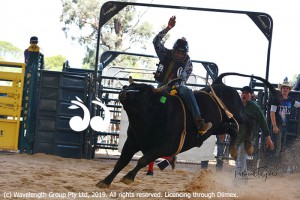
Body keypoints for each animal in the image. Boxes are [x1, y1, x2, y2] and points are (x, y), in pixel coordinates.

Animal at [96, 72, 276, 188]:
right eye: (130, 86)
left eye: (145, 91)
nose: (124, 92)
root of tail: (221, 85)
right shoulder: (132, 141)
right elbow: (121, 162)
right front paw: (105, 181)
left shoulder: (164, 146)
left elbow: (143, 159)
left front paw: (128, 177)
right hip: (219, 126)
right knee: (233, 130)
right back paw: (232, 149)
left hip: (236, 111)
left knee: (250, 120)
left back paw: (249, 146)